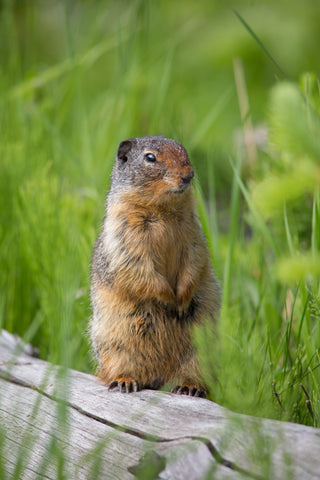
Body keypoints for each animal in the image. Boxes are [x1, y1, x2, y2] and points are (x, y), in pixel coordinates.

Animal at [89, 135, 220, 398]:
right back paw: (124, 381)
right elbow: (139, 267)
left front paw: (182, 300)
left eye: (184, 150)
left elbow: (195, 259)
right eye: (150, 157)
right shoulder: (125, 234)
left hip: (201, 349)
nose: (189, 175)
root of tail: (159, 379)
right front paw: (169, 299)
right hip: (118, 344)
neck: (163, 210)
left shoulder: (193, 231)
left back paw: (190, 386)